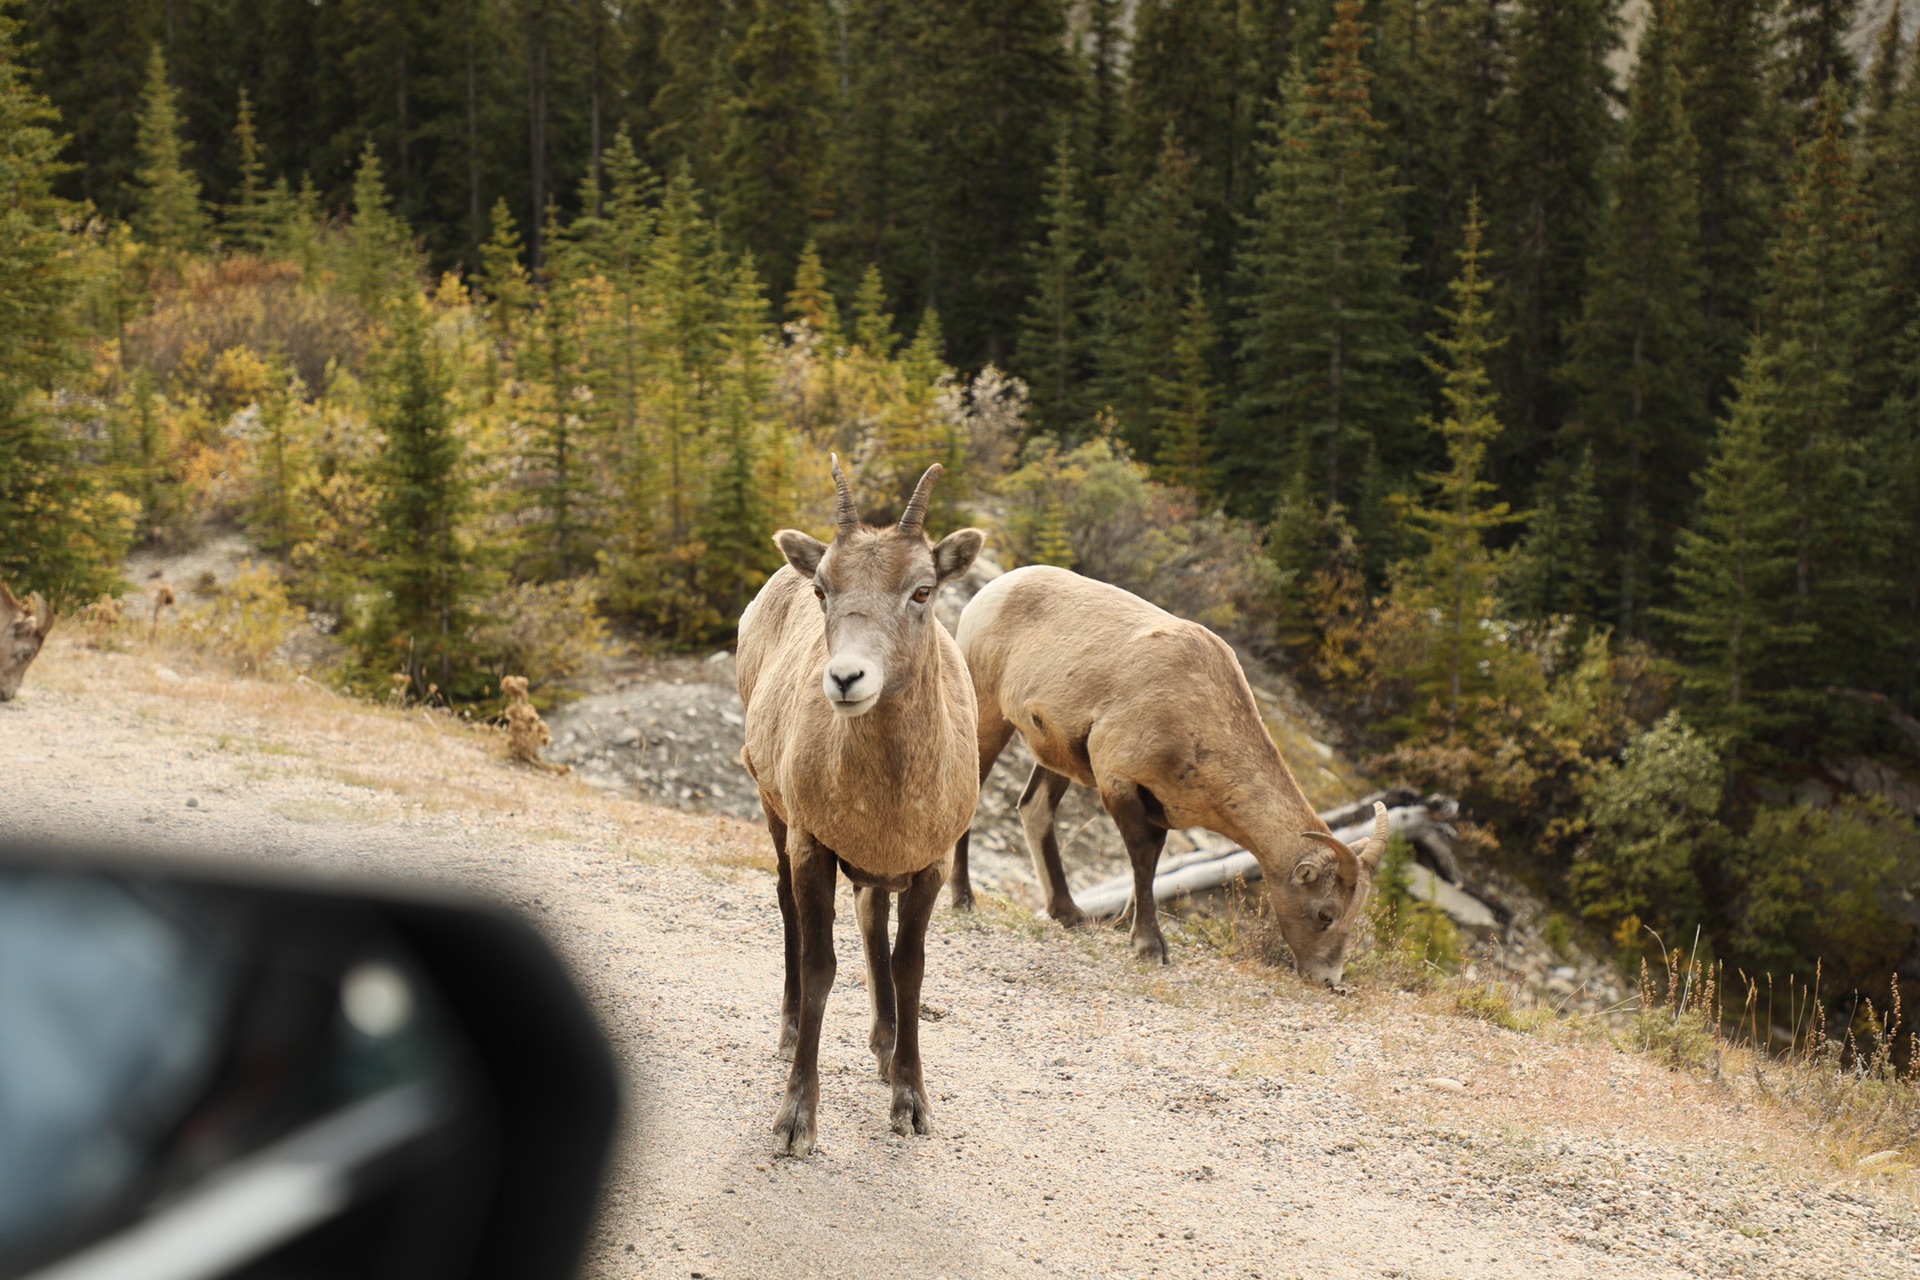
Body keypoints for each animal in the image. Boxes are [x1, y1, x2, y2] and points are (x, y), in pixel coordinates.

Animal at [729, 454, 983, 1159]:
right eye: (823, 589)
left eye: (923, 590)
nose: (846, 679)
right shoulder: (814, 845)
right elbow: (821, 967)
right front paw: (795, 1122)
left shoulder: (929, 865)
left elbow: (908, 968)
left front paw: (911, 1102)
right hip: (775, 815)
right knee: (787, 907)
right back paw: (791, 1028)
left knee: (873, 922)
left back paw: (884, 1048)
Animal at [952, 564, 1390, 990]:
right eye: (1324, 914)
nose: (1329, 980)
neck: (1197, 717)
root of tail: (996, 588)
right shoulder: (1120, 781)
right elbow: (1143, 857)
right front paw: (1149, 947)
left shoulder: (1159, 803)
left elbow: (1154, 861)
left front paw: (1127, 931)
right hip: (988, 713)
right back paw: (963, 900)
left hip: (1056, 757)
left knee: (1035, 809)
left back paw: (1069, 914)